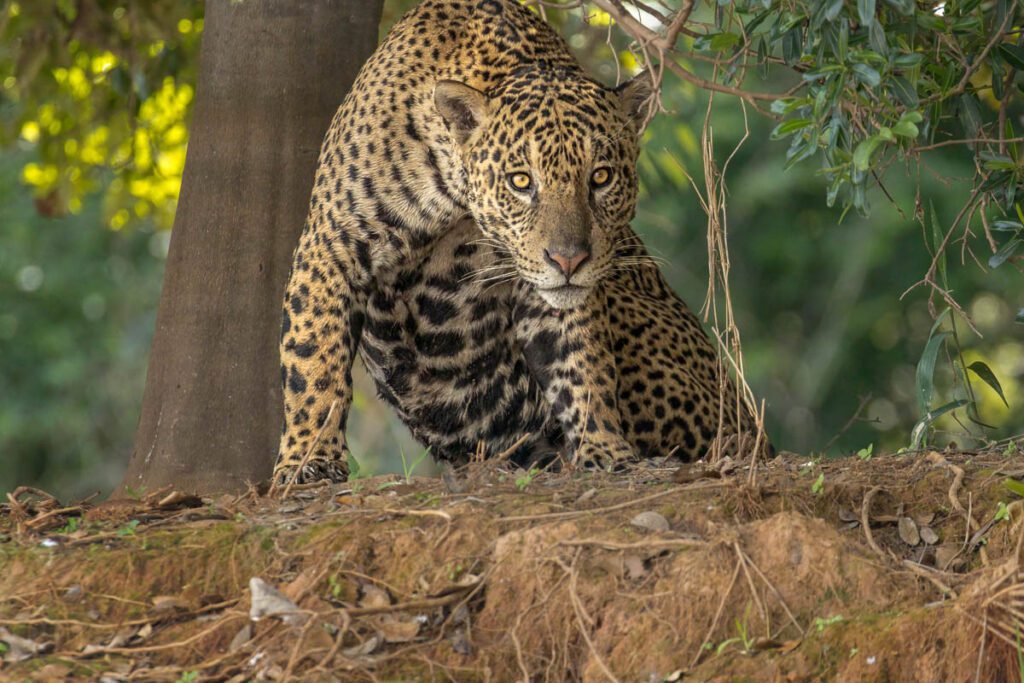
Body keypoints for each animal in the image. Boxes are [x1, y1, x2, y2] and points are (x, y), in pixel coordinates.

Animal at [274, 0, 763, 485]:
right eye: (522, 181)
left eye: (601, 177)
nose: (569, 260)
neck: (458, 205)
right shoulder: (333, 248)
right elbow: (314, 360)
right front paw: (308, 459)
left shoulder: (550, 293)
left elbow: (583, 361)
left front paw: (605, 450)